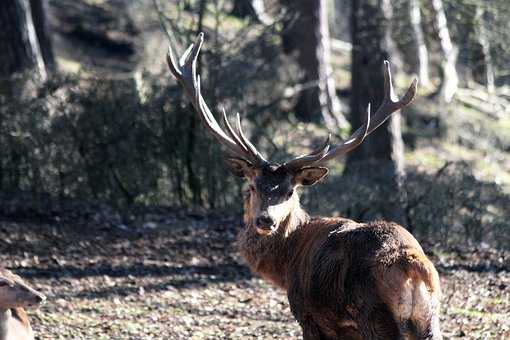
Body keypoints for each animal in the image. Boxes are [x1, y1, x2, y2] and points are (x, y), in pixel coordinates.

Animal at [167, 32, 442, 340]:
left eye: (290, 191)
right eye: (253, 186)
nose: (265, 220)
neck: (287, 263)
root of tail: (414, 266)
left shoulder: (309, 315)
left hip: (375, 316)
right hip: (429, 319)